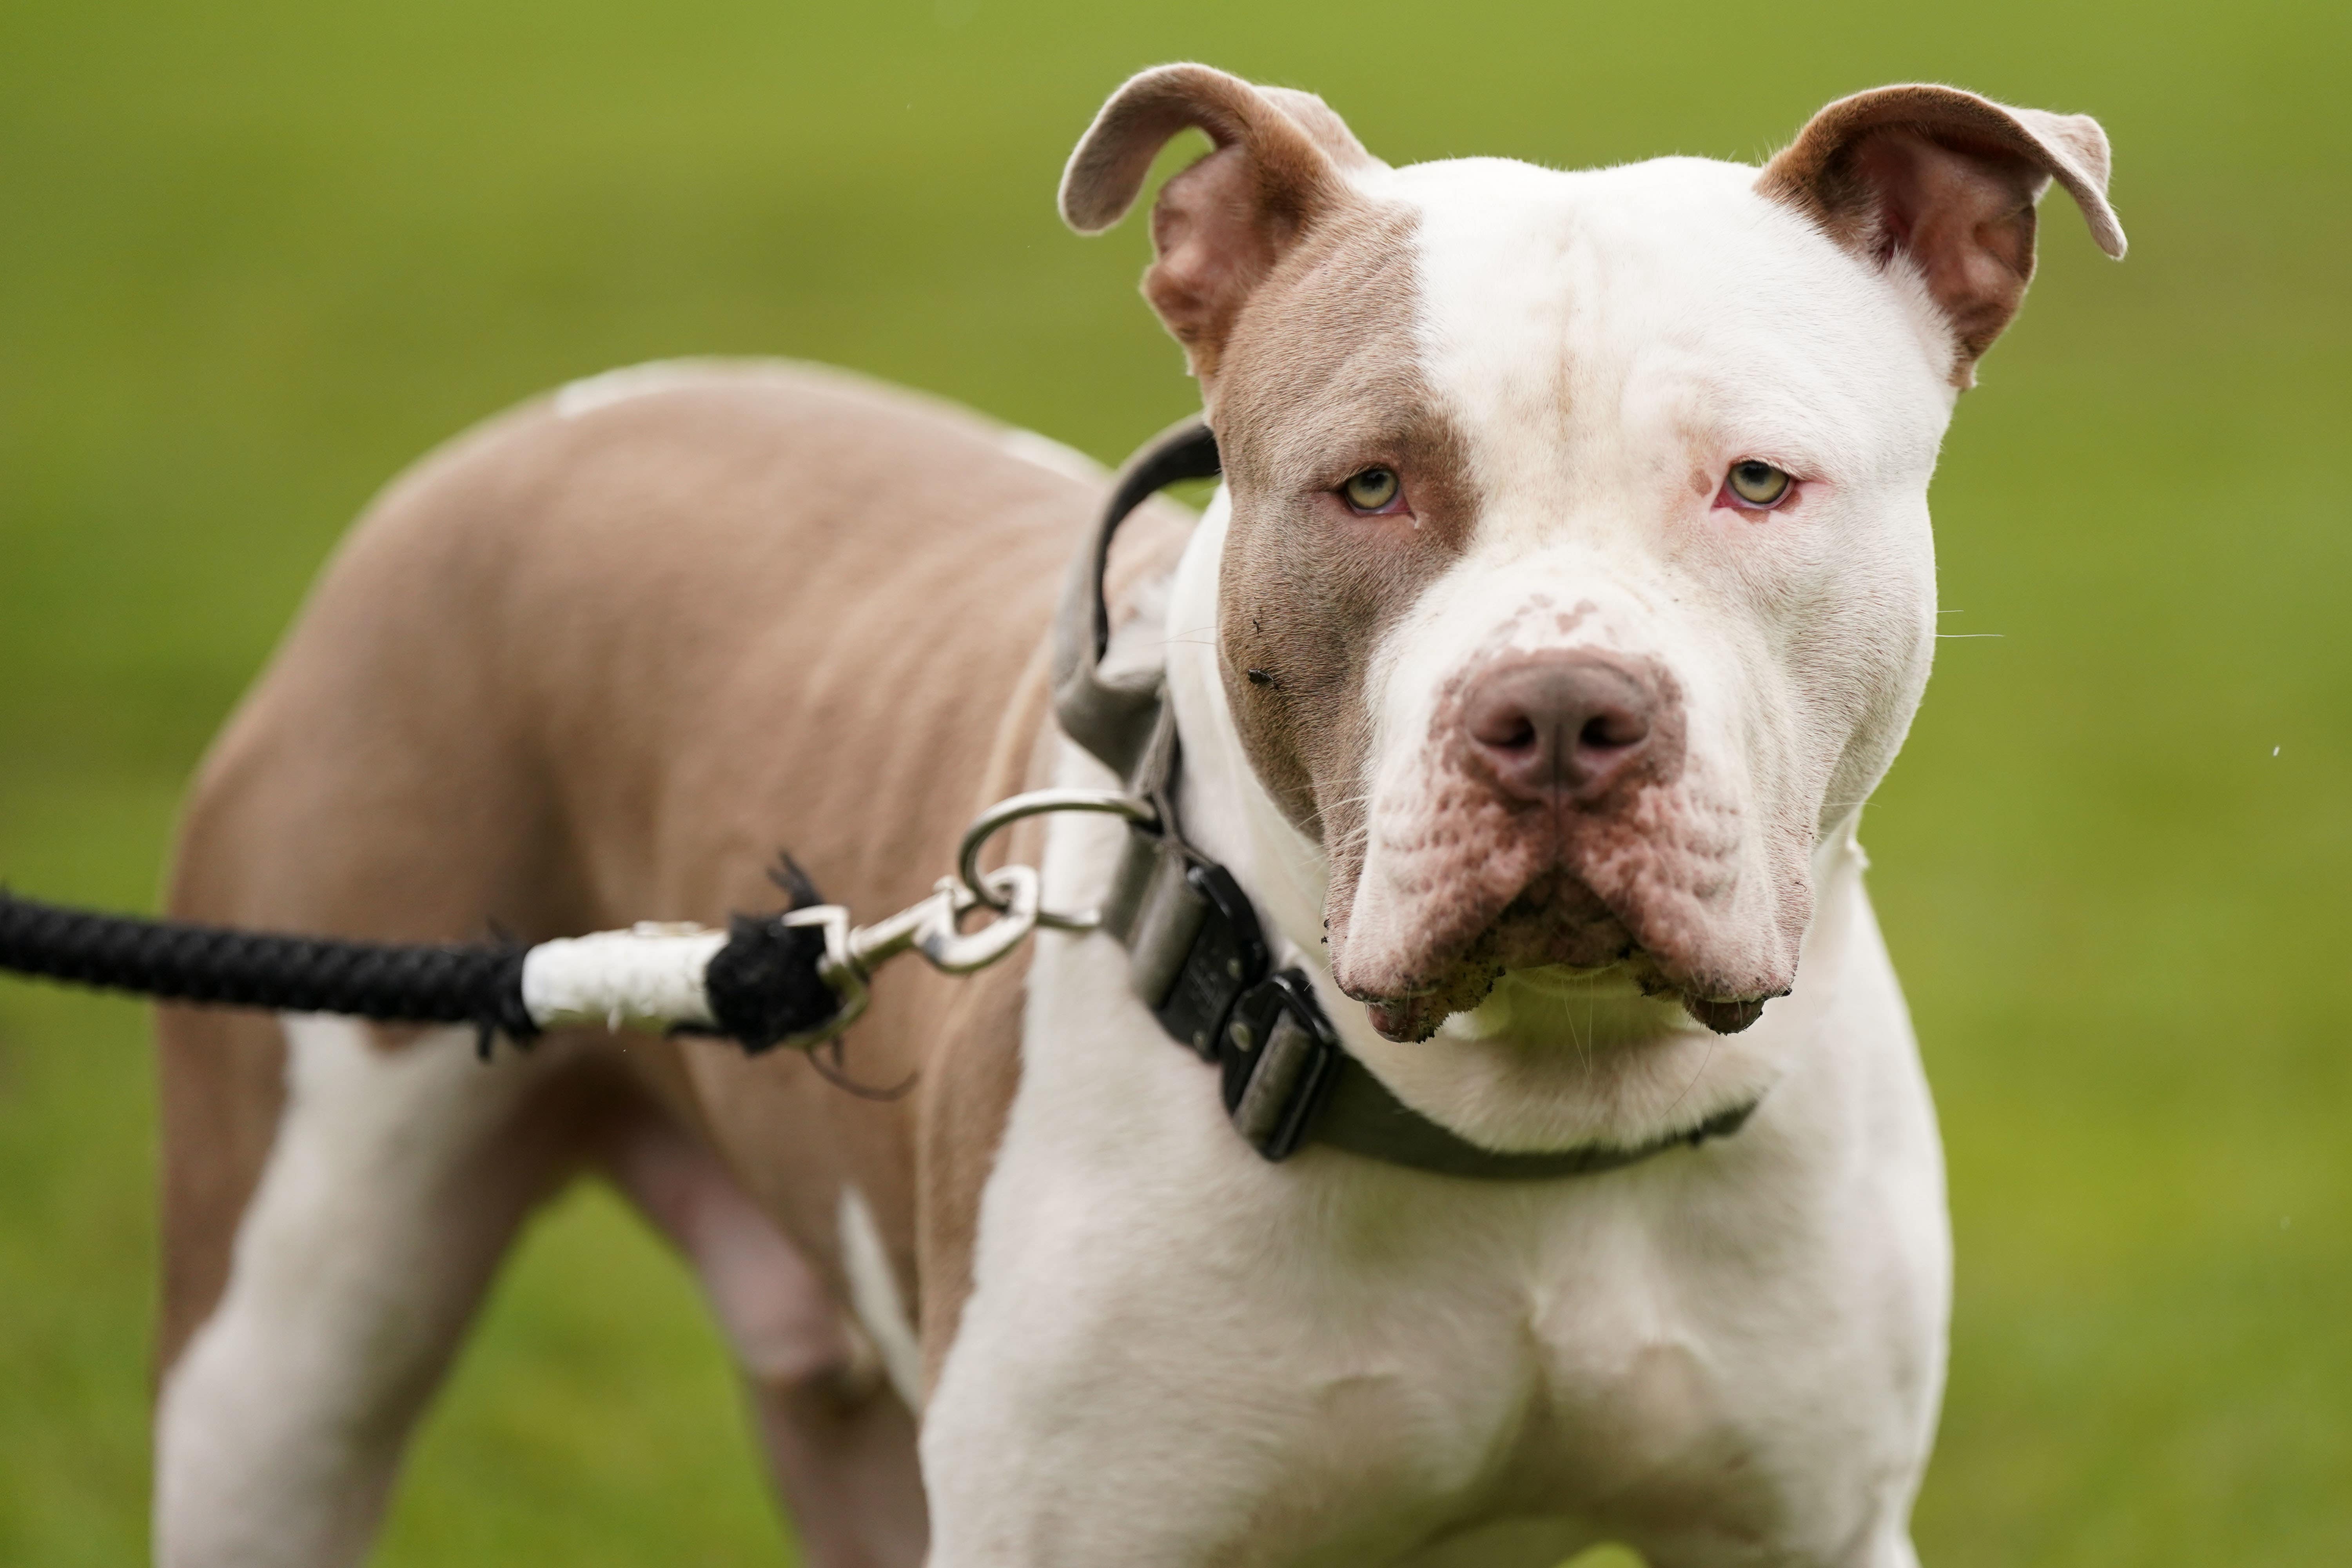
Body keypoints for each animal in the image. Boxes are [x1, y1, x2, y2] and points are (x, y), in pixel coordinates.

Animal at [156, 64, 2126, 1568]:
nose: (1562, 716)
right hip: (282, 1342)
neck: (1528, 1118)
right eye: (1368, 485)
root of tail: (526, 434)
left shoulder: (1810, 1522)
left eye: (1756, 482)